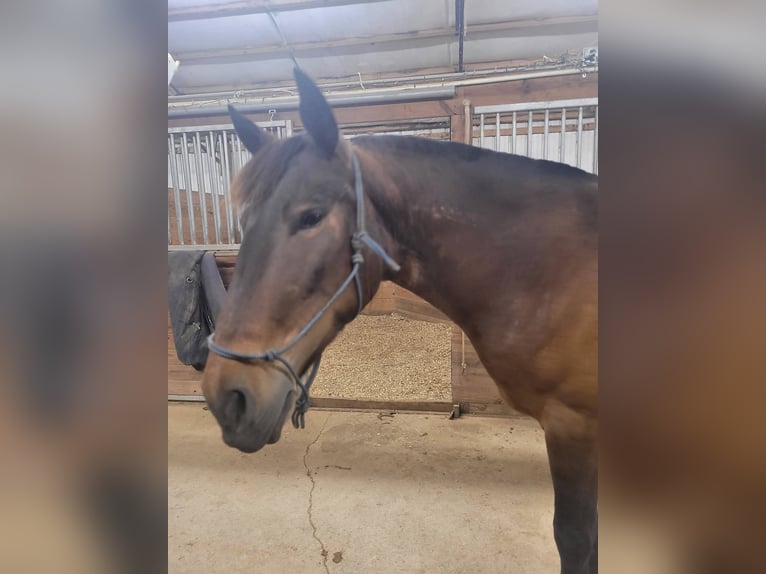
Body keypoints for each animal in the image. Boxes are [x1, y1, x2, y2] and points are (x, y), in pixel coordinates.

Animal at [201, 67, 598, 574]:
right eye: (244, 222)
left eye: (311, 216)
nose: (227, 397)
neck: (551, 268)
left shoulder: (574, 424)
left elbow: (576, 538)